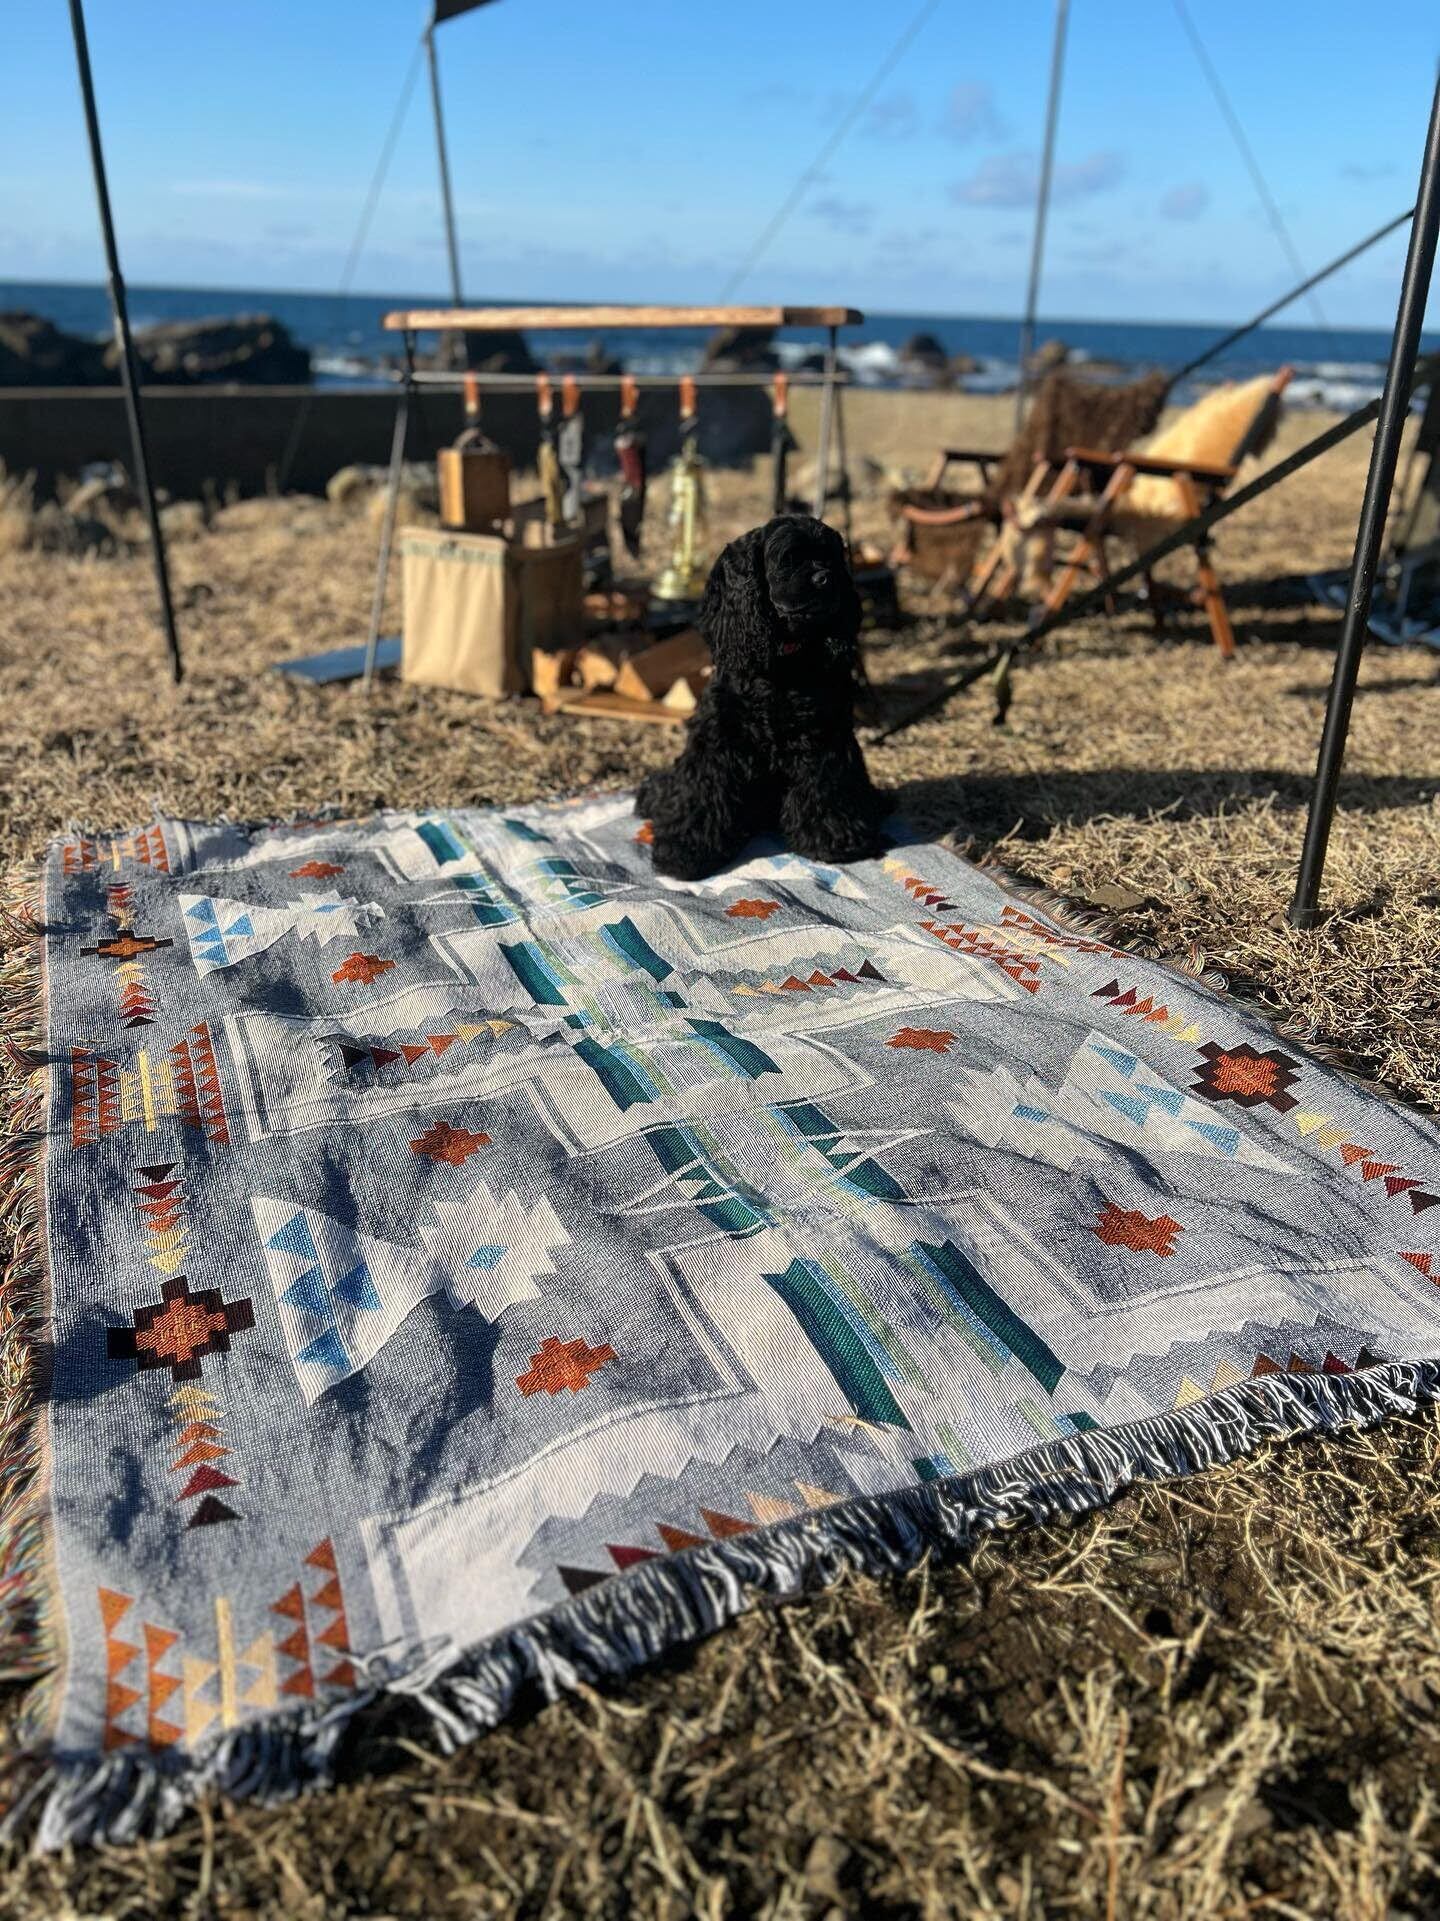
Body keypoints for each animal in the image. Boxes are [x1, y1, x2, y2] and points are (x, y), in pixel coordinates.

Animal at [636, 515, 885, 881]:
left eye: (832, 558)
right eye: (788, 559)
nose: (827, 579)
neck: (782, 666)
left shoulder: (823, 737)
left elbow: (826, 787)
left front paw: (834, 840)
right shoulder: (718, 741)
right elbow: (702, 794)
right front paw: (685, 850)